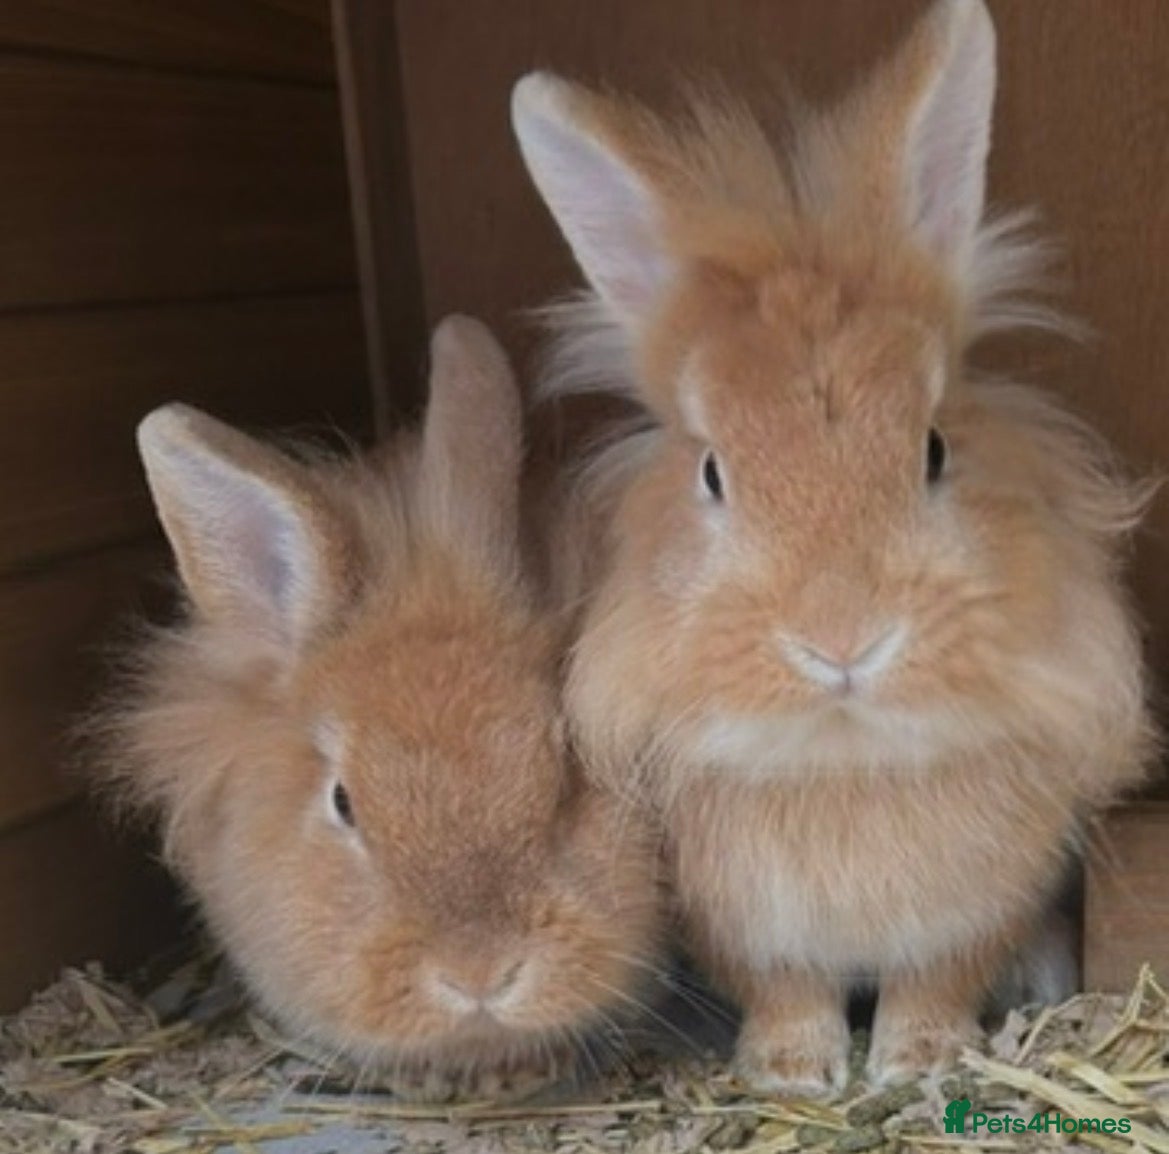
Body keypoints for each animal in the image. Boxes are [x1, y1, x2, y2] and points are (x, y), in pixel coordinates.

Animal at [510, 0, 1156, 1094]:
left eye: (933, 449)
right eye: (712, 472)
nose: (843, 641)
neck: (842, 752)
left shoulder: (973, 909)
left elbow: (933, 980)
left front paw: (916, 1061)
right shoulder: (743, 928)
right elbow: (788, 992)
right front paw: (788, 1071)